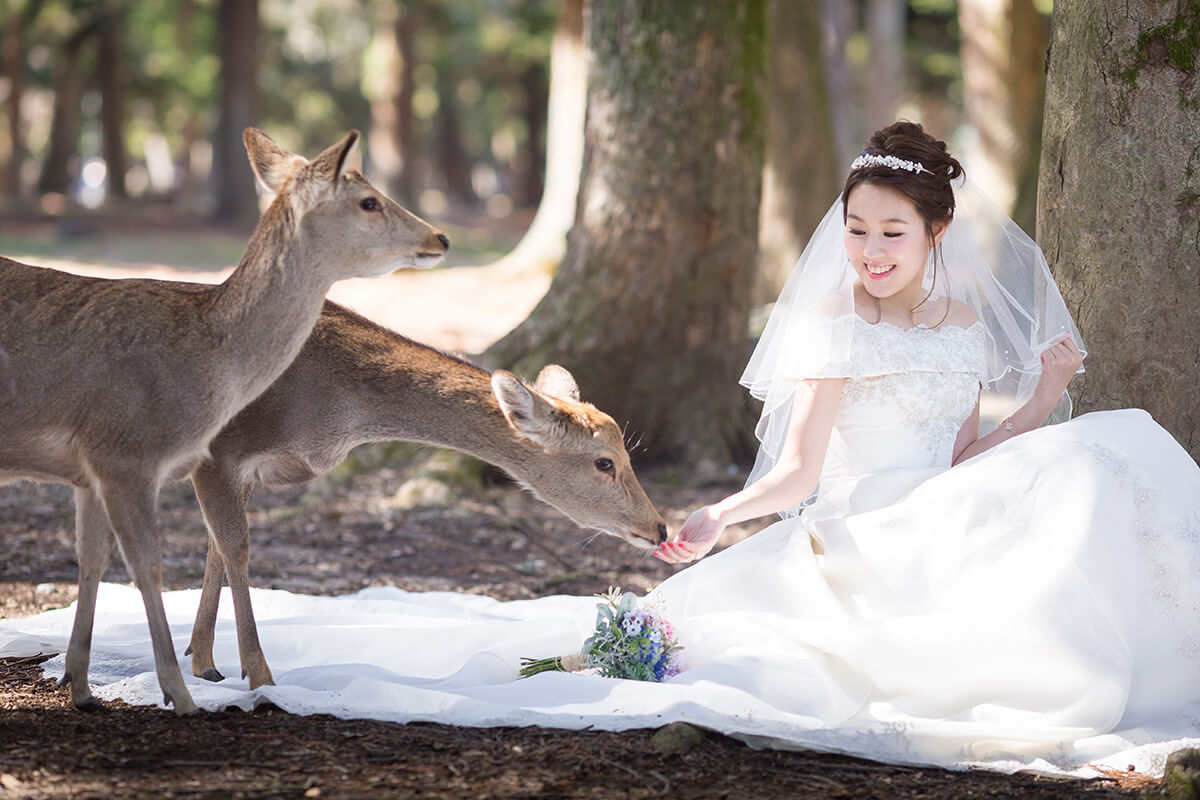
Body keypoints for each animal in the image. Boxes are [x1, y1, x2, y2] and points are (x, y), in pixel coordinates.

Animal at [0, 128, 451, 714]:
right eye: (369, 200)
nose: (441, 237)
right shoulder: (125, 453)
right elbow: (149, 563)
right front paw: (185, 694)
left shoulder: (91, 471)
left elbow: (93, 556)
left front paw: (80, 687)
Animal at [180, 299, 667, 690]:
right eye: (604, 462)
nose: (660, 528)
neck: (328, 410)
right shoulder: (219, 451)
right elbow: (235, 546)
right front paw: (255, 675)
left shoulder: (241, 471)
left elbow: (216, 545)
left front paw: (203, 661)